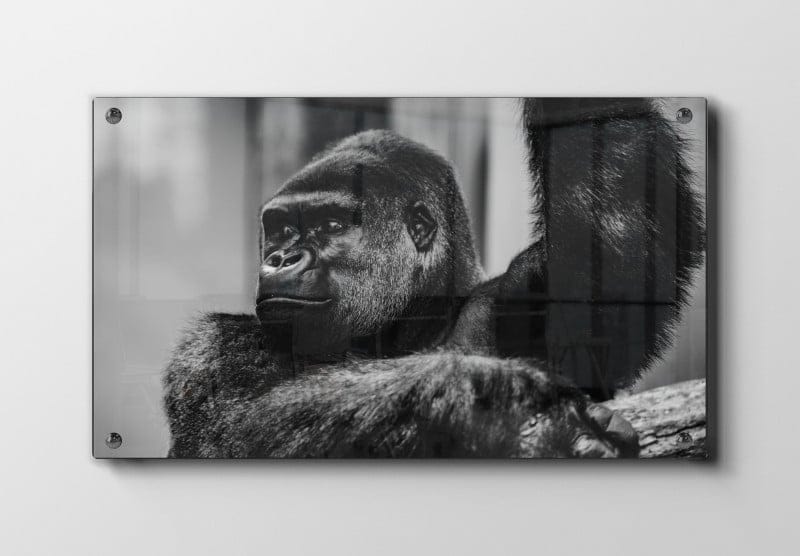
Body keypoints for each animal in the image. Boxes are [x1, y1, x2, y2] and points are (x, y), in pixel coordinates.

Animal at [163, 98, 704, 458]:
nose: (280, 258)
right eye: (279, 230)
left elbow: (613, 269)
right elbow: (234, 431)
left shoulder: (515, 295)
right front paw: (492, 398)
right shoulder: (211, 349)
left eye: (331, 225)